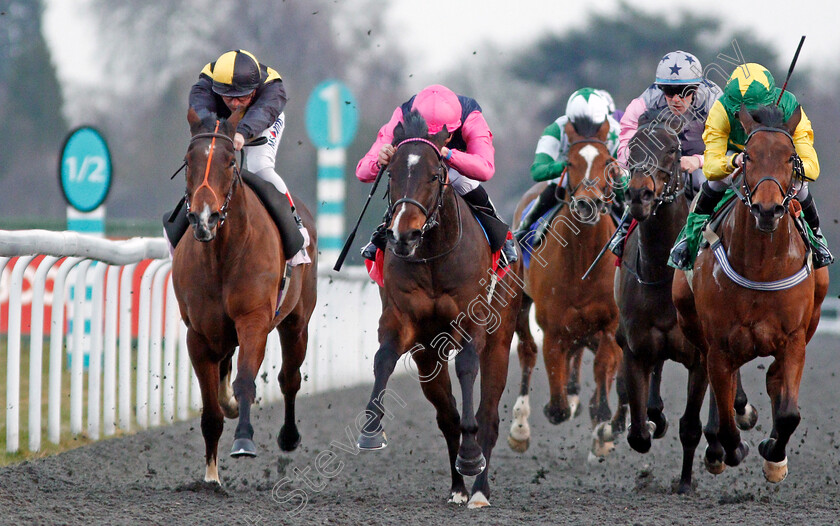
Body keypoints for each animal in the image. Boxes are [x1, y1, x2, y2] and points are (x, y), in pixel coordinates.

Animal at [172, 108, 316, 486]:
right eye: (188, 161)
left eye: (228, 161)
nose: (203, 218)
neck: (222, 254)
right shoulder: (199, 334)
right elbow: (211, 410)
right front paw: (211, 476)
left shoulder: (254, 321)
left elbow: (246, 381)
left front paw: (244, 441)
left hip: (297, 322)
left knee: (289, 378)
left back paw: (288, 435)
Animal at [356, 112, 524, 512]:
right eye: (391, 175)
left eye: (434, 175)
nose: (403, 235)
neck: (433, 252)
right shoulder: (403, 324)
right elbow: (383, 359)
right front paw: (371, 430)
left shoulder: (472, 322)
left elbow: (466, 368)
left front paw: (471, 457)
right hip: (429, 355)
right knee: (447, 415)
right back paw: (459, 488)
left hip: (500, 342)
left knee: (488, 415)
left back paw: (478, 489)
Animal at [508, 117, 628, 460]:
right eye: (571, 163)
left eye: (608, 162)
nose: (589, 204)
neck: (584, 261)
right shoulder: (554, 327)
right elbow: (556, 396)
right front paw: (557, 408)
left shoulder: (610, 324)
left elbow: (604, 367)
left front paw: (602, 424)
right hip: (521, 298)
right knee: (527, 351)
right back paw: (519, 427)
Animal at [612, 111, 756, 496]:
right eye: (632, 148)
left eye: (673, 150)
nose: (640, 194)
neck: (661, 274)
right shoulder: (635, 348)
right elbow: (638, 433)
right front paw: (651, 420)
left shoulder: (700, 356)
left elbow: (690, 426)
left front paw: (688, 480)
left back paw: (728, 433)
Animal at [672, 104, 832, 486]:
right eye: (748, 156)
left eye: (791, 158)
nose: (768, 209)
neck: (761, 268)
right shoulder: (719, 344)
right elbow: (728, 421)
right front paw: (729, 449)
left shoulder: (794, 339)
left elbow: (789, 413)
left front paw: (774, 456)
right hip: (692, 321)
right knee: (721, 385)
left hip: (812, 318)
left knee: (773, 380)